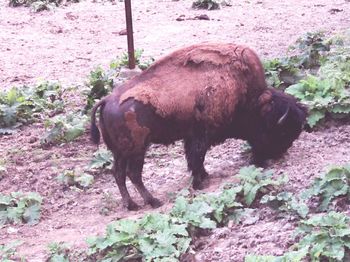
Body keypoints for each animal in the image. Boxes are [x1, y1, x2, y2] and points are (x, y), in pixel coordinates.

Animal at [90, 43, 306, 211]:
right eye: (281, 131)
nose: (277, 155)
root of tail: (107, 100)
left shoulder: (191, 137)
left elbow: (194, 159)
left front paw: (204, 176)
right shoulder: (201, 135)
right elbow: (197, 157)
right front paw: (199, 182)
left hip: (120, 152)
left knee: (118, 173)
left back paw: (131, 204)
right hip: (137, 150)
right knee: (133, 174)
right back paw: (153, 201)